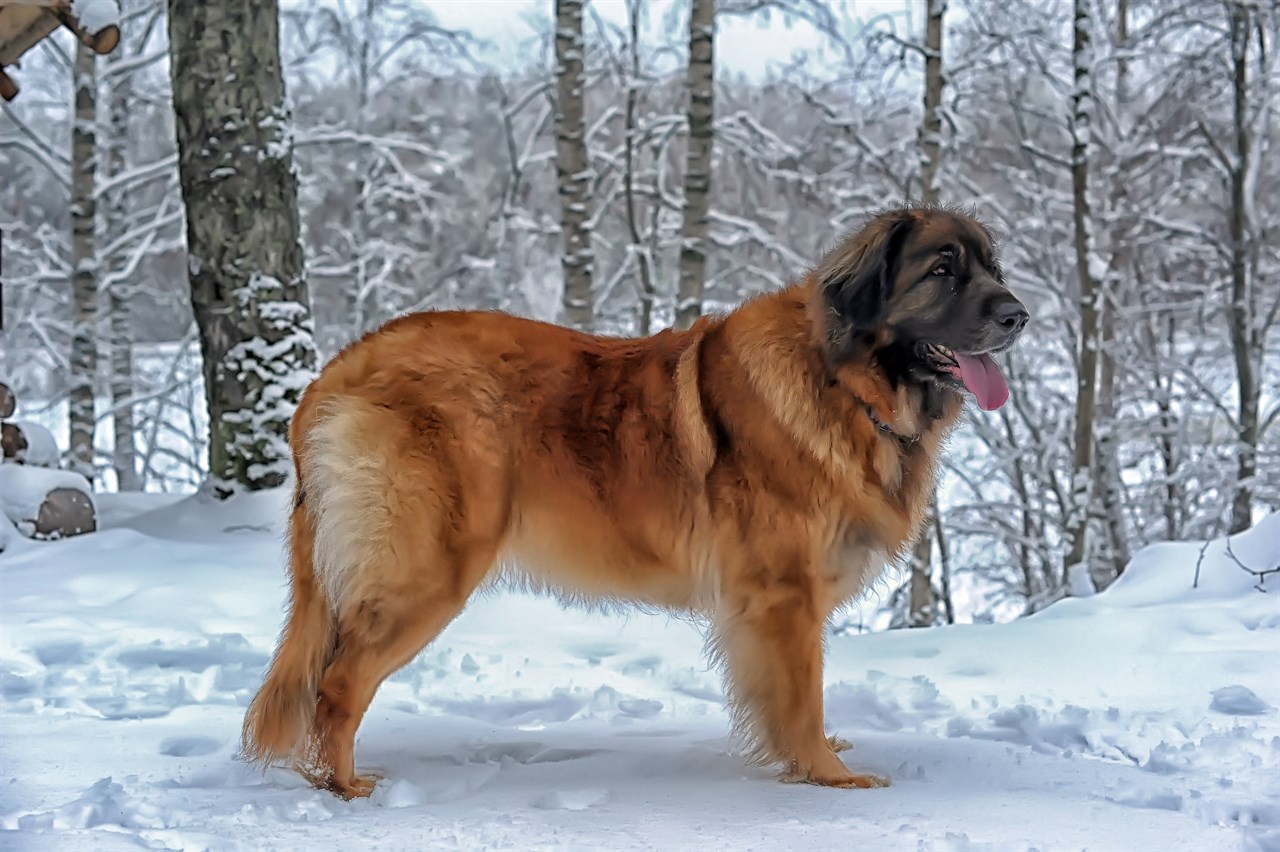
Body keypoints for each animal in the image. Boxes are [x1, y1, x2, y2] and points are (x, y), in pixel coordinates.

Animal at [244, 204, 1029, 798]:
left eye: (992, 268)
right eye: (941, 270)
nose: (1019, 315)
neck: (843, 382)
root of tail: (338, 370)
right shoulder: (784, 598)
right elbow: (801, 699)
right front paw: (829, 777)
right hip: (427, 572)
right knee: (339, 683)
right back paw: (344, 788)